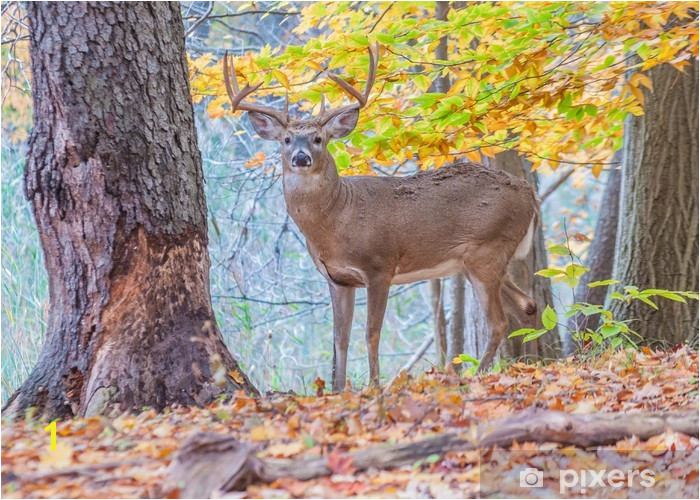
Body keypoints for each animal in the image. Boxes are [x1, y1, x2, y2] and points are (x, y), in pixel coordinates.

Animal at [221, 46, 540, 390]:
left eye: (319, 139)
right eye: (286, 140)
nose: (301, 158)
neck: (337, 220)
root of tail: (530, 194)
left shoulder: (380, 266)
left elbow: (371, 334)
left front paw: (374, 386)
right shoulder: (337, 278)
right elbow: (340, 339)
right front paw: (337, 389)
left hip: (487, 249)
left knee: (499, 322)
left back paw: (476, 377)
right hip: (479, 261)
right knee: (527, 305)